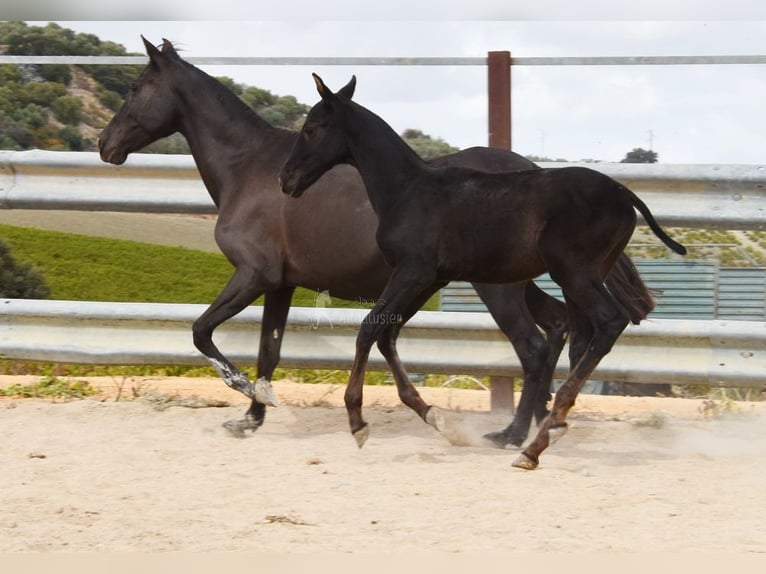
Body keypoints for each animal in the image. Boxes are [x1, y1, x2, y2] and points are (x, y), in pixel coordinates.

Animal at [98, 37, 651, 448]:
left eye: (135, 86)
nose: (106, 146)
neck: (247, 169)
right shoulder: (281, 284)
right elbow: (269, 351)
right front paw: (251, 417)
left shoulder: (253, 274)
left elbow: (201, 332)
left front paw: (251, 397)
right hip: (513, 277)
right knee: (558, 326)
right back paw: (539, 422)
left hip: (499, 287)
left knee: (535, 345)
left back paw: (518, 433)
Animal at [279, 74, 686, 469]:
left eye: (312, 128)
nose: (286, 179)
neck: (408, 189)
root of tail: (622, 193)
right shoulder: (430, 279)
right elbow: (386, 333)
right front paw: (432, 415)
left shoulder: (412, 272)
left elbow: (367, 329)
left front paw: (358, 422)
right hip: (579, 277)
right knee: (577, 336)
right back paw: (536, 430)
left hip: (568, 273)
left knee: (597, 326)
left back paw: (531, 443)